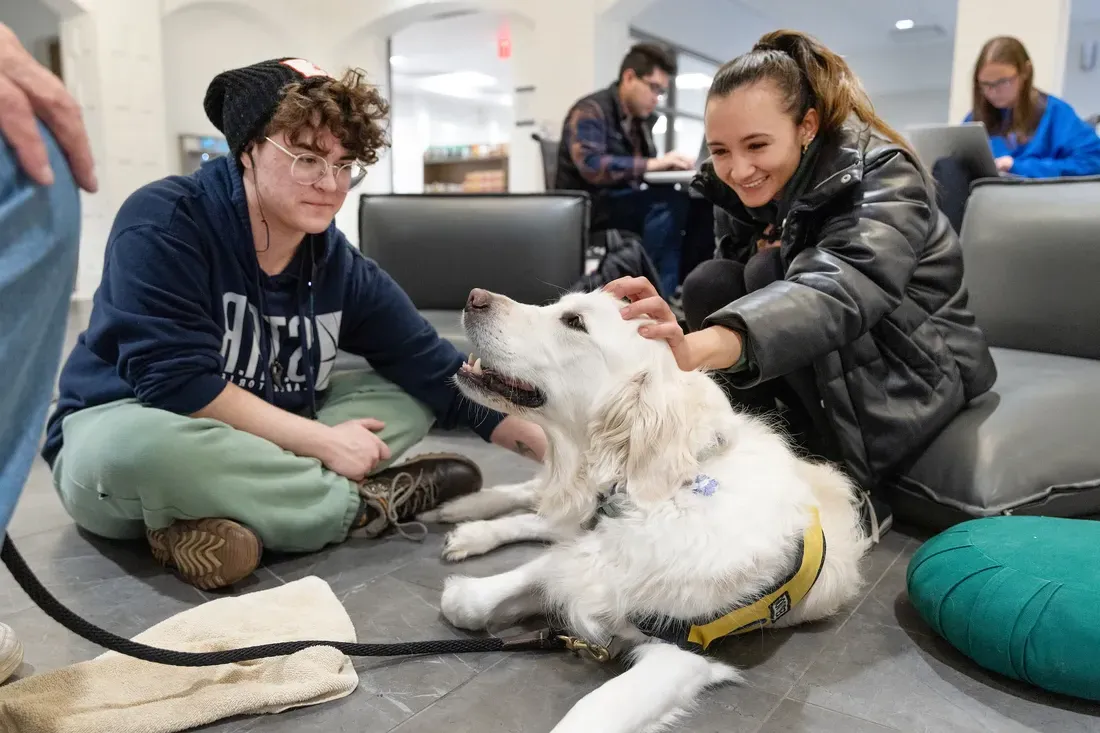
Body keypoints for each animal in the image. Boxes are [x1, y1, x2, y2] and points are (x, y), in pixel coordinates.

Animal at [429, 288, 866, 726]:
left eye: (574, 322)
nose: (474, 297)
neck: (651, 496)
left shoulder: (682, 651)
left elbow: (589, 712)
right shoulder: (586, 559)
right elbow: (480, 596)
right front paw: (469, 588)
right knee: (533, 501)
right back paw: (463, 514)